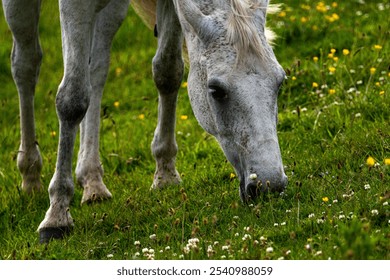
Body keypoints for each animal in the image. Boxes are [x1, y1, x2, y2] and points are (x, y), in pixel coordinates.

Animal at [2, 0, 286, 243]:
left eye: (280, 81)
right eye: (216, 90)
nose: (269, 185)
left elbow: (168, 71)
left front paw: (165, 175)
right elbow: (72, 99)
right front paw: (56, 216)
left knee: (96, 68)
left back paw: (92, 181)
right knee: (26, 64)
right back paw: (30, 174)